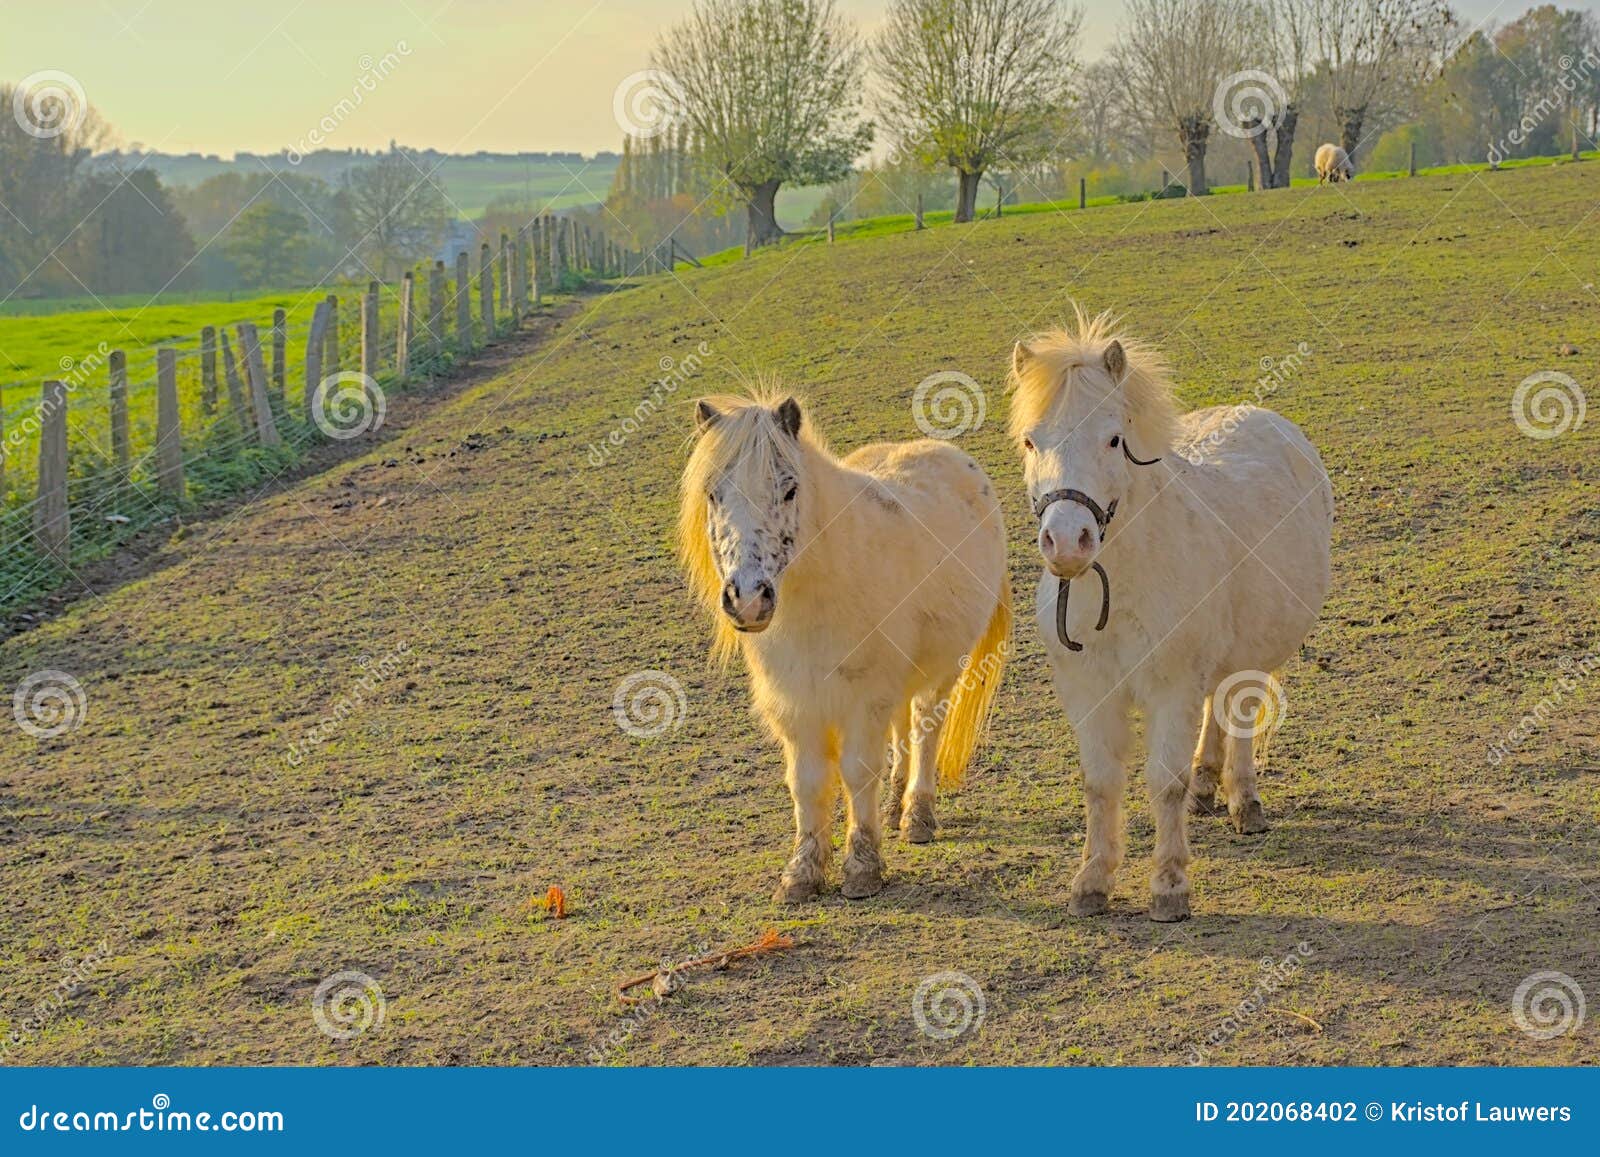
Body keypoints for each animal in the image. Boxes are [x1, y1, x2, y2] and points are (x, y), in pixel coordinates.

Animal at [678, 398, 1004, 902]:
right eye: (714, 494)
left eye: (789, 490)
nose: (748, 599)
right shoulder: (797, 704)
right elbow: (807, 783)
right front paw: (802, 873)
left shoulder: (863, 698)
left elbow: (857, 771)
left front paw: (862, 868)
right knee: (902, 729)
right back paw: (893, 808)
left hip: (942, 670)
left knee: (924, 730)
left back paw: (917, 816)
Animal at [1011, 310, 1337, 921]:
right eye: (1030, 440)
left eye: (1114, 438)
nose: (1067, 541)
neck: (1120, 586)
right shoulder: (1090, 691)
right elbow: (1100, 781)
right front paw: (1092, 880)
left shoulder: (1172, 686)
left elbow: (1165, 782)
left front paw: (1168, 885)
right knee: (1218, 710)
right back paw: (1209, 786)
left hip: (1255, 652)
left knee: (1239, 713)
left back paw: (1244, 801)